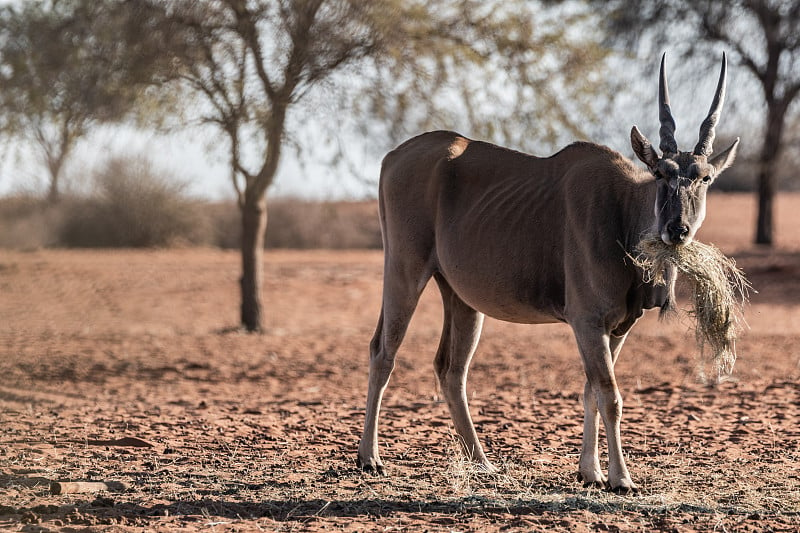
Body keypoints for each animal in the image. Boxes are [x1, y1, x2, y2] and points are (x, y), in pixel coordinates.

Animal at [356, 52, 736, 492]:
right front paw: (620, 479)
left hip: (462, 299)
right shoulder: (588, 322)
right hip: (404, 270)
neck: (622, 207)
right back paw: (370, 458)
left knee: (451, 369)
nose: (678, 230)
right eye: (661, 173)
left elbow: (590, 391)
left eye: (705, 177)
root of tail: (392, 157)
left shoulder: (616, 328)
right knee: (383, 352)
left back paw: (481, 462)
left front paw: (589, 472)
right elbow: (609, 395)